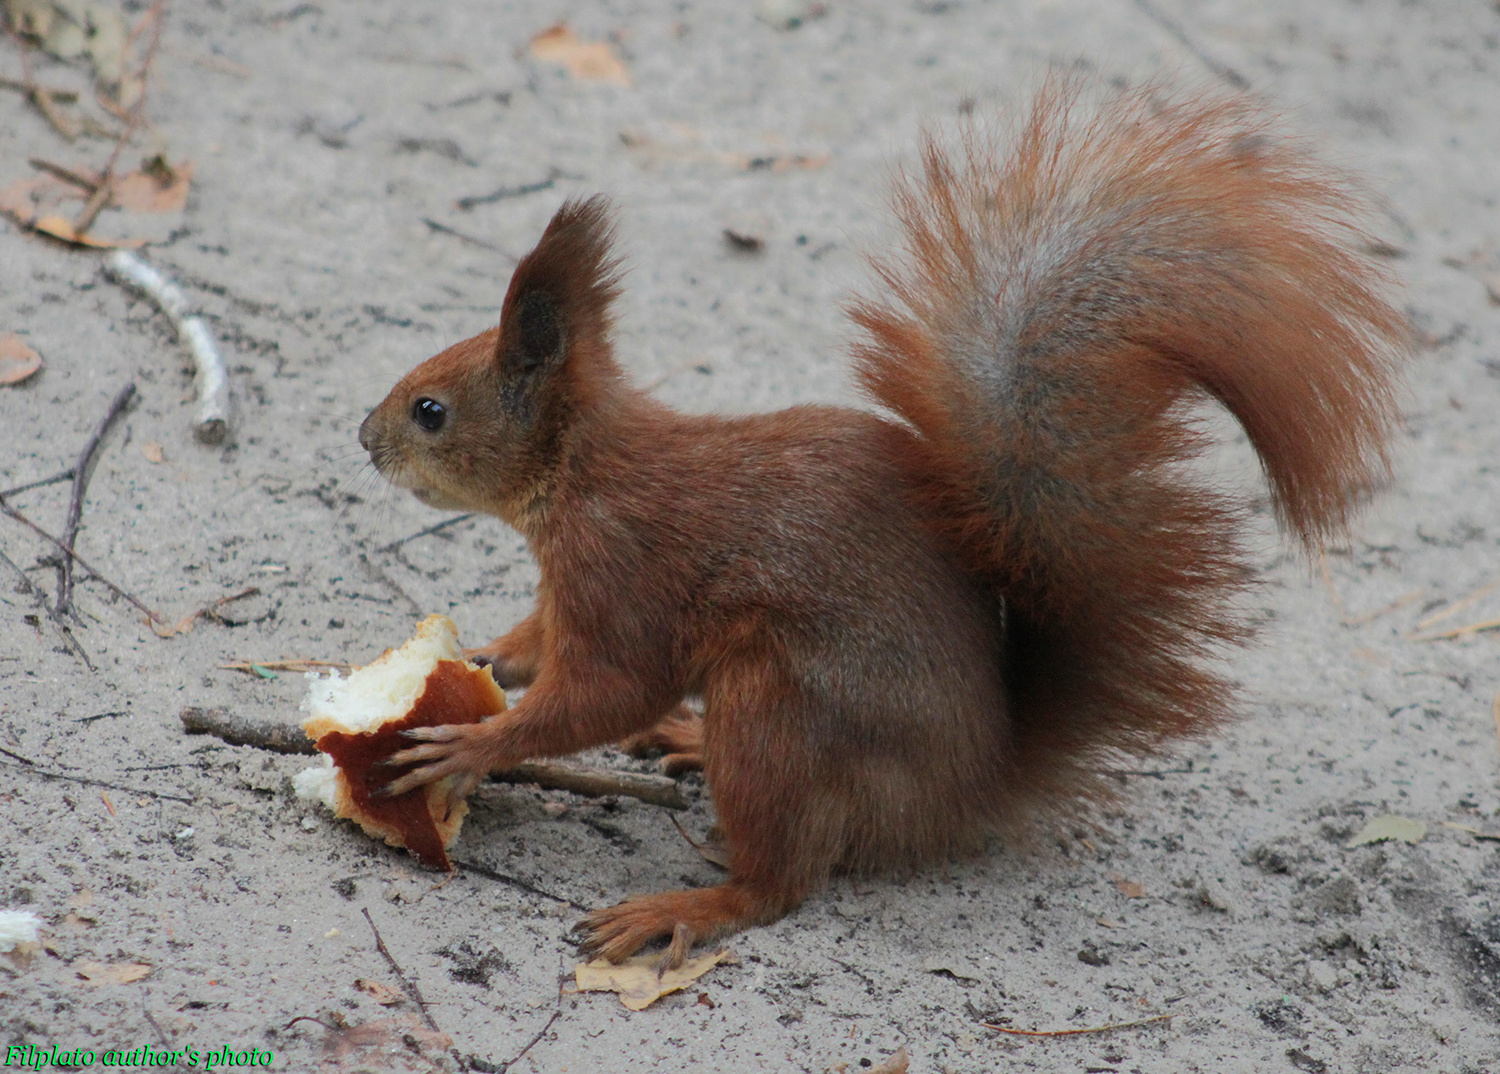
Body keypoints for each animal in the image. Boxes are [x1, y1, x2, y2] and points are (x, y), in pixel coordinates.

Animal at [361, 81, 1407, 966]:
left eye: (430, 411)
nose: (363, 438)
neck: (580, 471)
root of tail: (970, 788)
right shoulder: (569, 586)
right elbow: (541, 641)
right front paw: (490, 657)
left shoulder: (623, 571)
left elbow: (606, 691)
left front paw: (471, 746)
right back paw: (687, 745)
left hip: (778, 710)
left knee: (779, 885)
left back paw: (689, 904)